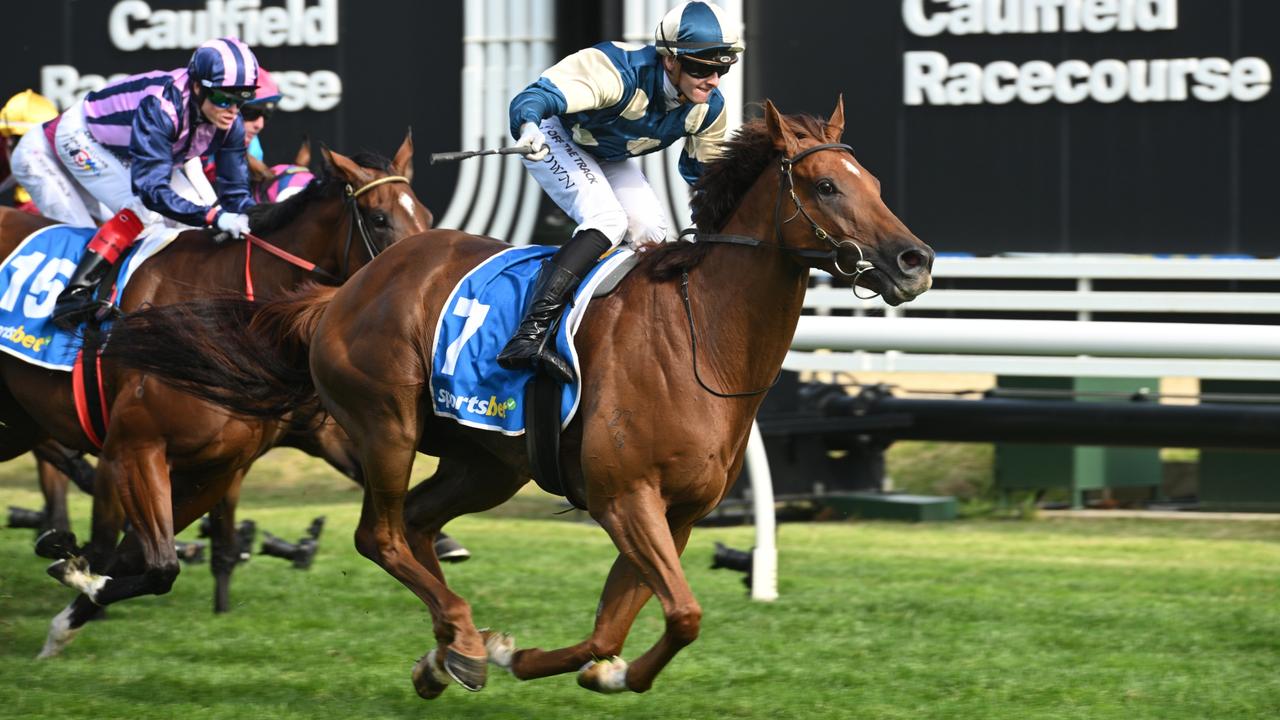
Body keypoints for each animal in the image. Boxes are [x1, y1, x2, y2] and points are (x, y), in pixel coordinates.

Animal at [99, 98, 936, 691]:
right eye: (825, 186)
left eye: (875, 185)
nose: (914, 259)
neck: (700, 340)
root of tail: (340, 292)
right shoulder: (624, 497)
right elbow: (685, 612)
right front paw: (515, 656)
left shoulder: (679, 513)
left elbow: (623, 628)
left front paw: (588, 671)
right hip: (387, 424)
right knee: (382, 535)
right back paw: (464, 640)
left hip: (486, 463)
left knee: (419, 528)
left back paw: (449, 651)